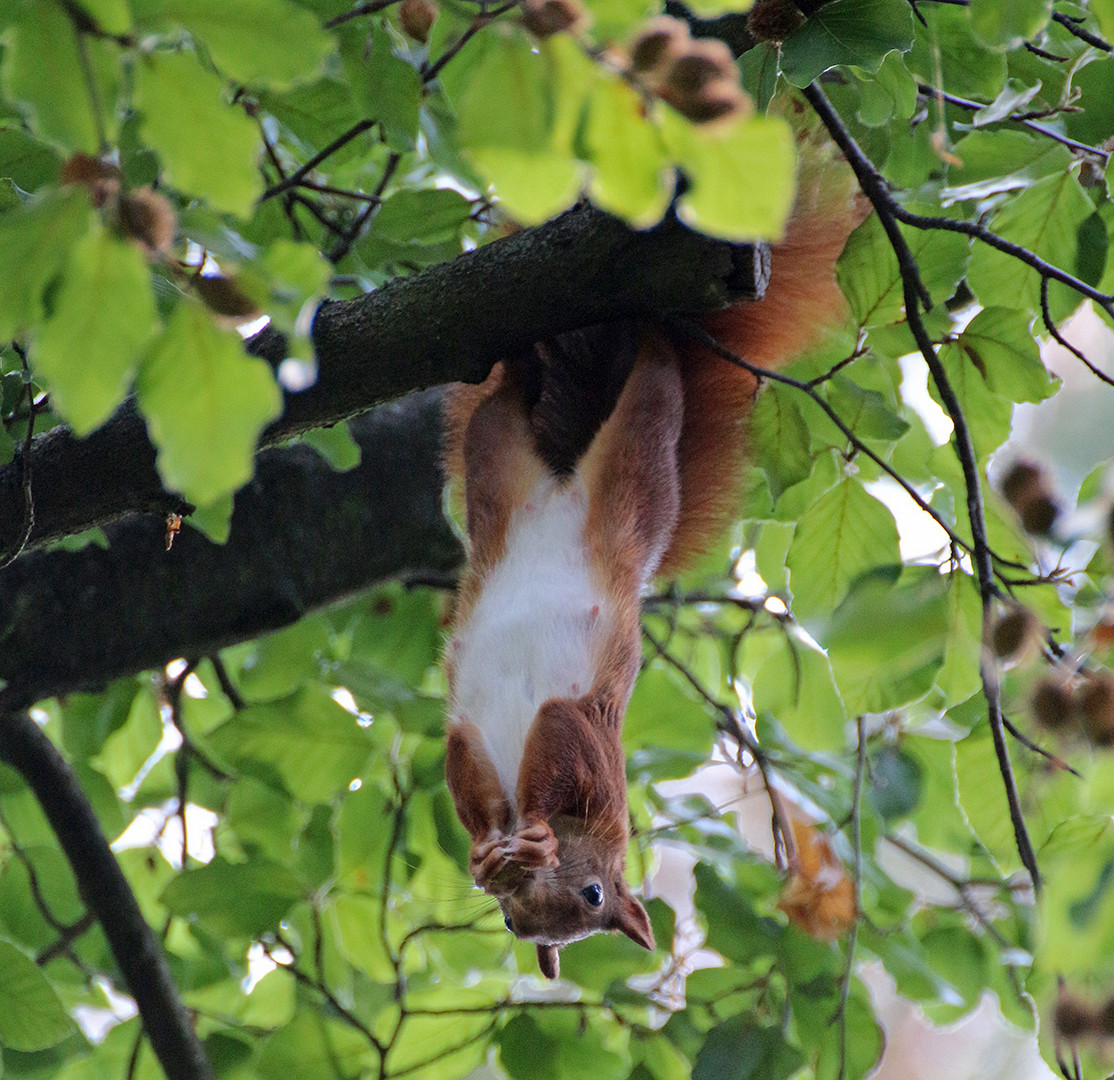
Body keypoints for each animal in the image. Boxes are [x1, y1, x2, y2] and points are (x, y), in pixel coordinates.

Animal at [438, 168, 855, 976]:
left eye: (592, 900)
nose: (520, 909)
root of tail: (561, 487)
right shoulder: (533, 744)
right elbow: (490, 779)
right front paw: (500, 848)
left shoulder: (553, 741)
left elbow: (524, 760)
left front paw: (523, 839)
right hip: (609, 480)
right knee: (639, 393)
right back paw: (621, 340)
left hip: (529, 476)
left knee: (530, 406)